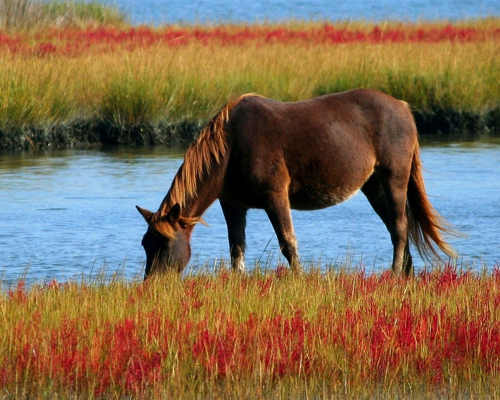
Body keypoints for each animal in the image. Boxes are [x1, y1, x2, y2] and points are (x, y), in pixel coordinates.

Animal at [135, 88, 456, 278]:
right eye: (145, 244)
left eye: (164, 244)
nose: (152, 285)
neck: (231, 146)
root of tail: (402, 107)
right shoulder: (233, 204)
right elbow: (236, 248)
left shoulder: (275, 196)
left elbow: (288, 243)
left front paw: (299, 279)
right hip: (373, 186)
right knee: (395, 227)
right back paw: (406, 273)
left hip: (393, 178)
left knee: (400, 227)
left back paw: (395, 274)